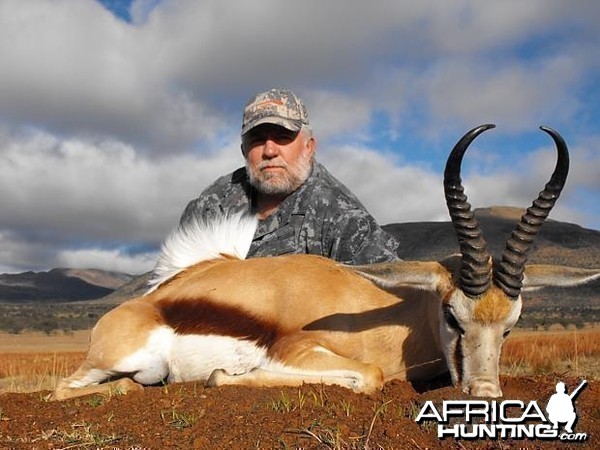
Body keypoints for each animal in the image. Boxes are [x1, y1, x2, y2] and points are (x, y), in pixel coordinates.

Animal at [51, 124, 600, 400]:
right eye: (452, 315)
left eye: (512, 325)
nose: (485, 393)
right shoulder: (295, 350)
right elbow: (370, 376)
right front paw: (220, 377)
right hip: (126, 362)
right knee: (67, 389)